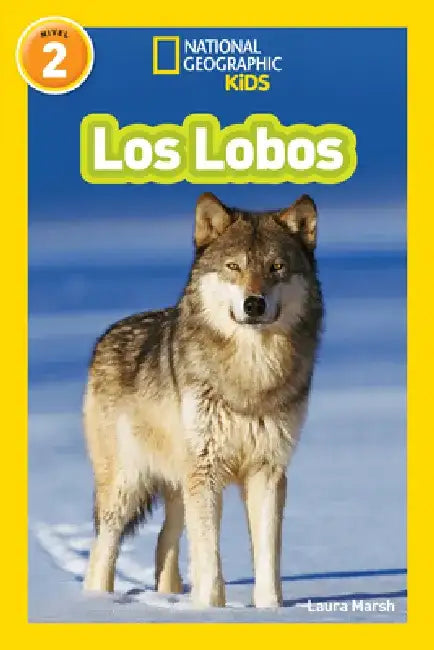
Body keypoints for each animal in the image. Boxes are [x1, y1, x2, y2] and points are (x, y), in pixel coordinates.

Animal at [83, 192, 323, 608]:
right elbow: (210, 560)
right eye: (233, 266)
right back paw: (97, 603)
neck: (249, 375)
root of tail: (106, 334)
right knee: (103, 549)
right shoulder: (207, 472)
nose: (254, 304)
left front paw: (271, 610)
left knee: (165, 542)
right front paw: (211, 610)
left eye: (276, 267)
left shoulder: (267, 471)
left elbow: (267, 559)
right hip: (127, 486)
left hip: (179, 487)